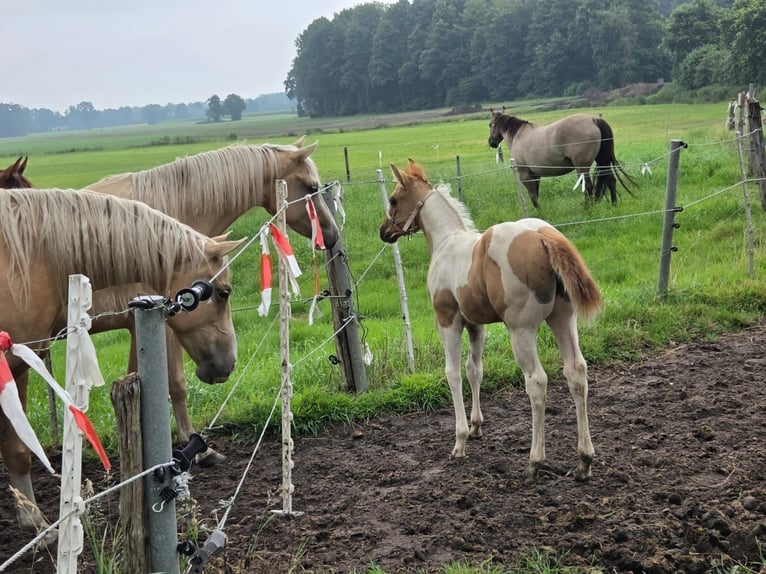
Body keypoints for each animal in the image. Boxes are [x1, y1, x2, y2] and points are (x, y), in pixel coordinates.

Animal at [379, 159, 602, 481]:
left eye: (394, 200)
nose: (384, 231)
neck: (447, 242)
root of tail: (543, 237)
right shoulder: (476, 324)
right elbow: (475, 370)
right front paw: (476, 427)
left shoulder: (447, 321)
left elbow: (453, 373)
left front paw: (460, 440)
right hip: (563, 319)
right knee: (576, 372)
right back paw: (584, 460)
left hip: (521, 331)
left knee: (537, 382)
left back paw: (535, 461)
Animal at [488, 109, 634, 209]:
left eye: (490, 125)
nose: (491, 142)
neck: (518, 136)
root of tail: (594, 119)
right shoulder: (535, 175)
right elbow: (535, 193)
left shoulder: (525, 175)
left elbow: (533, 195)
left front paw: (539, 213)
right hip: (602, 161)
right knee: (610, 180)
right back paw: (614, 204)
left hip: (582, 167)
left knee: (588, 186)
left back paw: (588, 207)